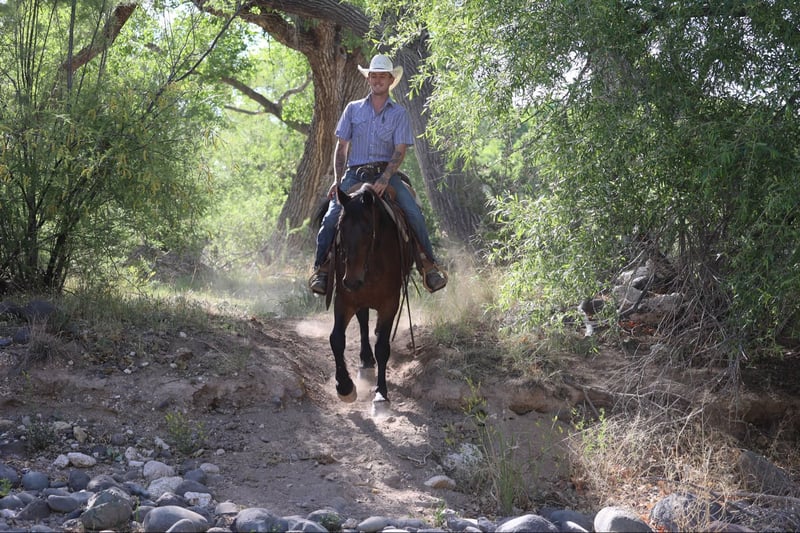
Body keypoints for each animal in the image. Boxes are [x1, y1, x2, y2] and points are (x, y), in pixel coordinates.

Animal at [327, 183, 414, 405]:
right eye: (340, 229)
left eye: (368, 230)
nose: (352, 280)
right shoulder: (345, 299)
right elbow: (336, 339)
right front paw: (345, 387)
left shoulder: (390, 303)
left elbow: (382, 347)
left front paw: (381, 394)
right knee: (364, 322)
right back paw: (366, 359)